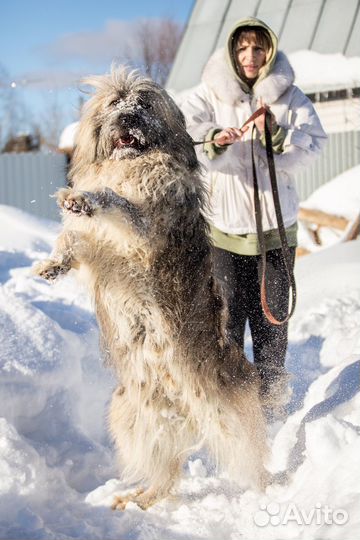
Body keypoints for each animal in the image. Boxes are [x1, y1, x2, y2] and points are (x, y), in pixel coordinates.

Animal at [34, 65, 270, 508]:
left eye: (143, 104)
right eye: (115, 103)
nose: (127, 118)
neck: (131, 163)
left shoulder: (146, 232)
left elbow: (120, 203)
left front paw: (89, 199)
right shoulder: (98, 247)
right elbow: (75, 239)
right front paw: (52, 262)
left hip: (222, 412)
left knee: (248, 455)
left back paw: (268, 489)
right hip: (133, 417)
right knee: (165, 469)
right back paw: (139, 498)